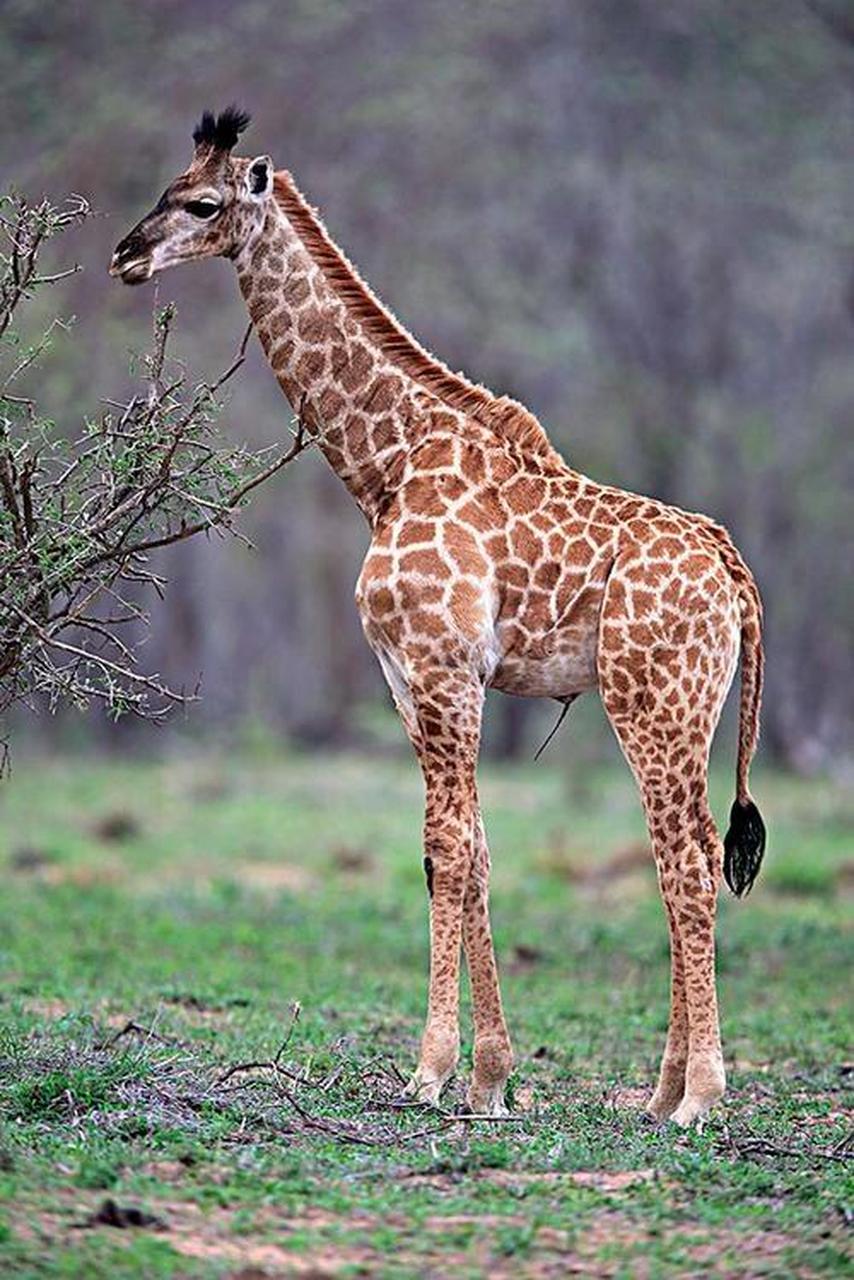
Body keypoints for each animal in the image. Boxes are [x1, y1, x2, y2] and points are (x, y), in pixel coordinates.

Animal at [111, 108, 766, 1127]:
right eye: (167, 188)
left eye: (202, 204)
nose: (126, 256)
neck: (386, 466)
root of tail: (734, 576)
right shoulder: (407, 676)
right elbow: (472, 850)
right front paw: (492, 1078)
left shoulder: (443, 665)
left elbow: (447, 852)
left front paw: (430, 1073)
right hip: (685, 705)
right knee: (687, 851)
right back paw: (656, 1097)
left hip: (653, 699)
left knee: (685, 863)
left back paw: (700, 1096)